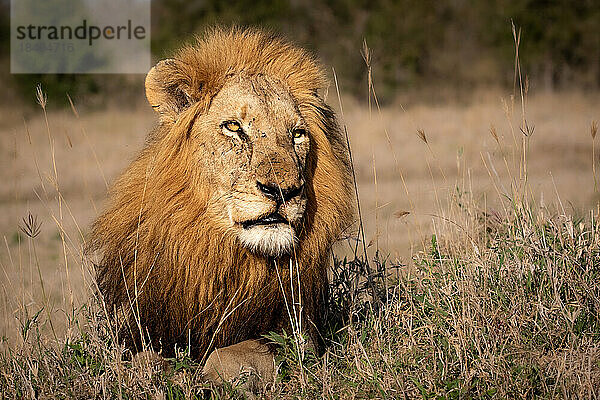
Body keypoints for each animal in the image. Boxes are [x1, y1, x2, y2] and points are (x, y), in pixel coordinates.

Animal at [87, 27, 354, 384]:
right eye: (234, 127)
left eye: (297, 134)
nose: (283, 191)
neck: (219, 254)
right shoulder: (139, 332)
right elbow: (139, 361)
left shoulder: (301, 337)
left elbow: (230, 353)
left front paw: (212, 379)